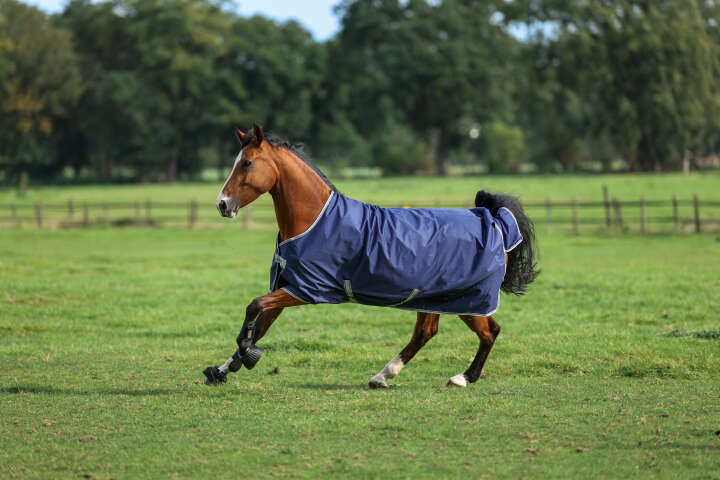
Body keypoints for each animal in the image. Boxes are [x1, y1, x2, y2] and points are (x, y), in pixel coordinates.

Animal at [204, 124, 539, 388]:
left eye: (247, 163)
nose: (222, 204)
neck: (314, 221)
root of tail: (495, 221)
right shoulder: (287, 286)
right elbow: (260, 322)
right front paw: (222, 370)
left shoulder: (307, 289)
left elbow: (254, 308)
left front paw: (246, 354)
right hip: (435, 298)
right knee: (427, 332)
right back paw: (383, 376)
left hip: (468, 299)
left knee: (488, 332)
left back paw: (462, 378)